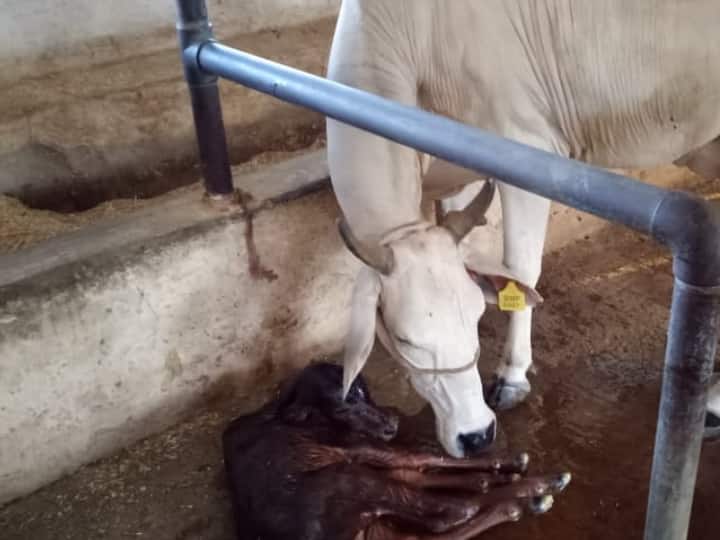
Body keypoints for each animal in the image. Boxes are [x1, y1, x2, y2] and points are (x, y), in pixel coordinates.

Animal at [325, 0, 720, 457]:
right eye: (405, 340)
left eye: (476, 315)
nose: (477, 435)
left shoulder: (527, 147)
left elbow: (520, 268)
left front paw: (512, 375)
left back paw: (712, 404)